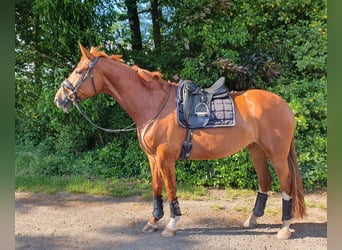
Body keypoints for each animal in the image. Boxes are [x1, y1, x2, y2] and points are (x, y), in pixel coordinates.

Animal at [54, 44, 306, 239]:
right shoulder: (153, 158)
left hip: (277, 154)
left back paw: (284, 227)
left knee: (286, 184)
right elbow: (157, 189)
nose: (60, 98)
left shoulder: (166, 158)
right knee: (265, 181)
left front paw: (171, 225)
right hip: (256, 150)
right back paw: (253, 218)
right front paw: (153, 221)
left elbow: (171, 189)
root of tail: (284, 105)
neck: (153, 105)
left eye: (80, 70)